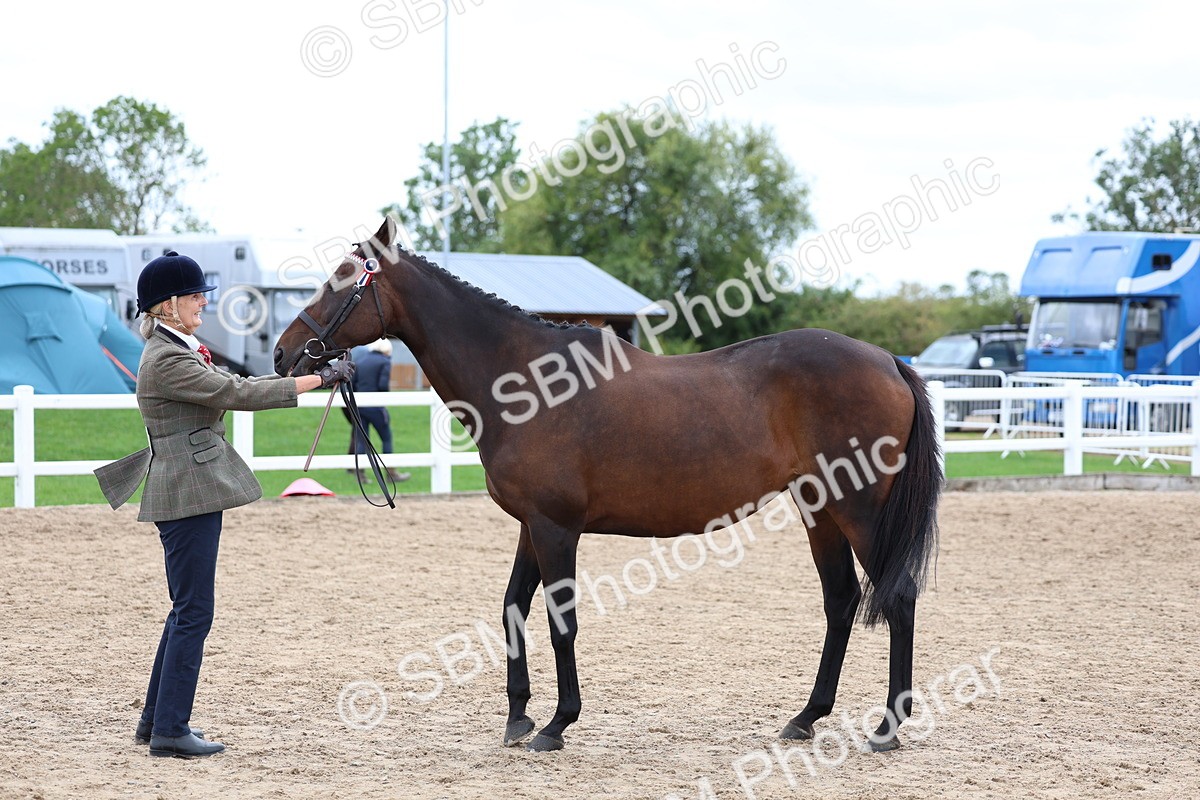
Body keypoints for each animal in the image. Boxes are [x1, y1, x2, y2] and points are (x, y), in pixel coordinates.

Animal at [274, 217, 941, 753]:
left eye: (341, 279)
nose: (283, 354)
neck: (525, 380)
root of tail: (889, 361)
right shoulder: (532, 526)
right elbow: (514, 606)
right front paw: (518, 718)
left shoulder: (556, 528)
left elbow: (559, 618)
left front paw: (556, 724)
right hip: (819, 509)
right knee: (841, 601)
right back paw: (806, 718)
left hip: (859, 511)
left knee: (897, 597)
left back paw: (888, 727)